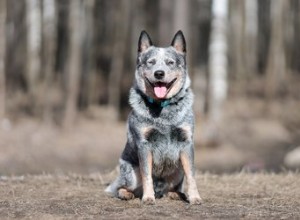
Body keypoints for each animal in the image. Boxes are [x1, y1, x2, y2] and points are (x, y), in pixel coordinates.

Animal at [105, 30, 202, 205]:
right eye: (151, 62)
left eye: (170, 62)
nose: (159, 73)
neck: (163, 110)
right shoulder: (144, 144)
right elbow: (147, 174)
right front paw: (148, 198)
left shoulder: (186, 143)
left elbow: (191, 174)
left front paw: (195, 197)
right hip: (130, 173)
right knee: (122, 187)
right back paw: (127, 194)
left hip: (177, 170)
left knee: (173, 187)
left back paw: (177, 194)